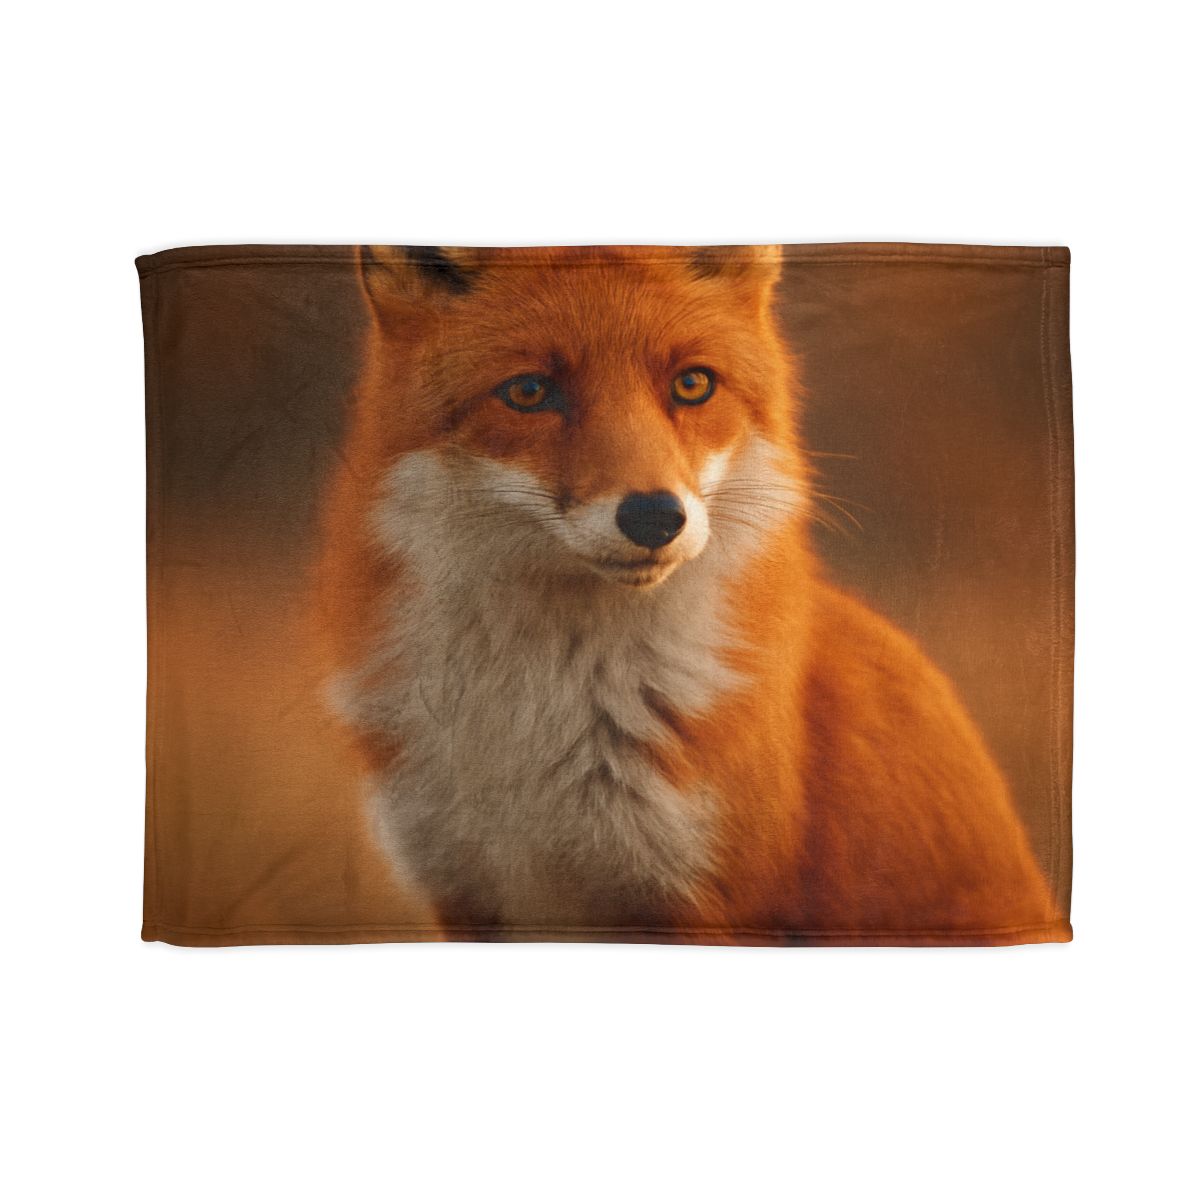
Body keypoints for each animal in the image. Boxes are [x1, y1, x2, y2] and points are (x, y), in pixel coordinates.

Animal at [316, 244, 1064, 945]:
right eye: (529, 391)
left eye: (693, 384)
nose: (654, 517)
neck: (544, 717)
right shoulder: (466, 891)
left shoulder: (710, 904)